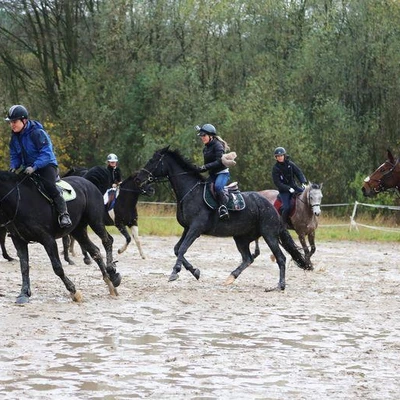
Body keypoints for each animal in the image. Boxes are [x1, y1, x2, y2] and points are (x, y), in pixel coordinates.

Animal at [0, 170, 122, 304]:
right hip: (78, 230)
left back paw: (111, 271)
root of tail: (88, 182)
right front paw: (24, 294)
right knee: (95, 251)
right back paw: (110, 281)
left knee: (107, 241)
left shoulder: (47, 239)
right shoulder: (18, 240)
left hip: (95, 221)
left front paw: (74, 291)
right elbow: (24, 267)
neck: (20, 200)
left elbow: (57, 267)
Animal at [136, 147, 314, 290]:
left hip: (269, 234)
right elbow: (177, 249)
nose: (139, 179)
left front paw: (174, 272)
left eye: (153, 160)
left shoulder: (195, 228)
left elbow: (182, 249)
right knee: (248, 258)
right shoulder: (187, 228)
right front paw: (195, 272)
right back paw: (230, 278)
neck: (190, 192)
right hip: (242, 237)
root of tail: (271, 207)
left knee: (280, 258)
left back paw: (280, 285)